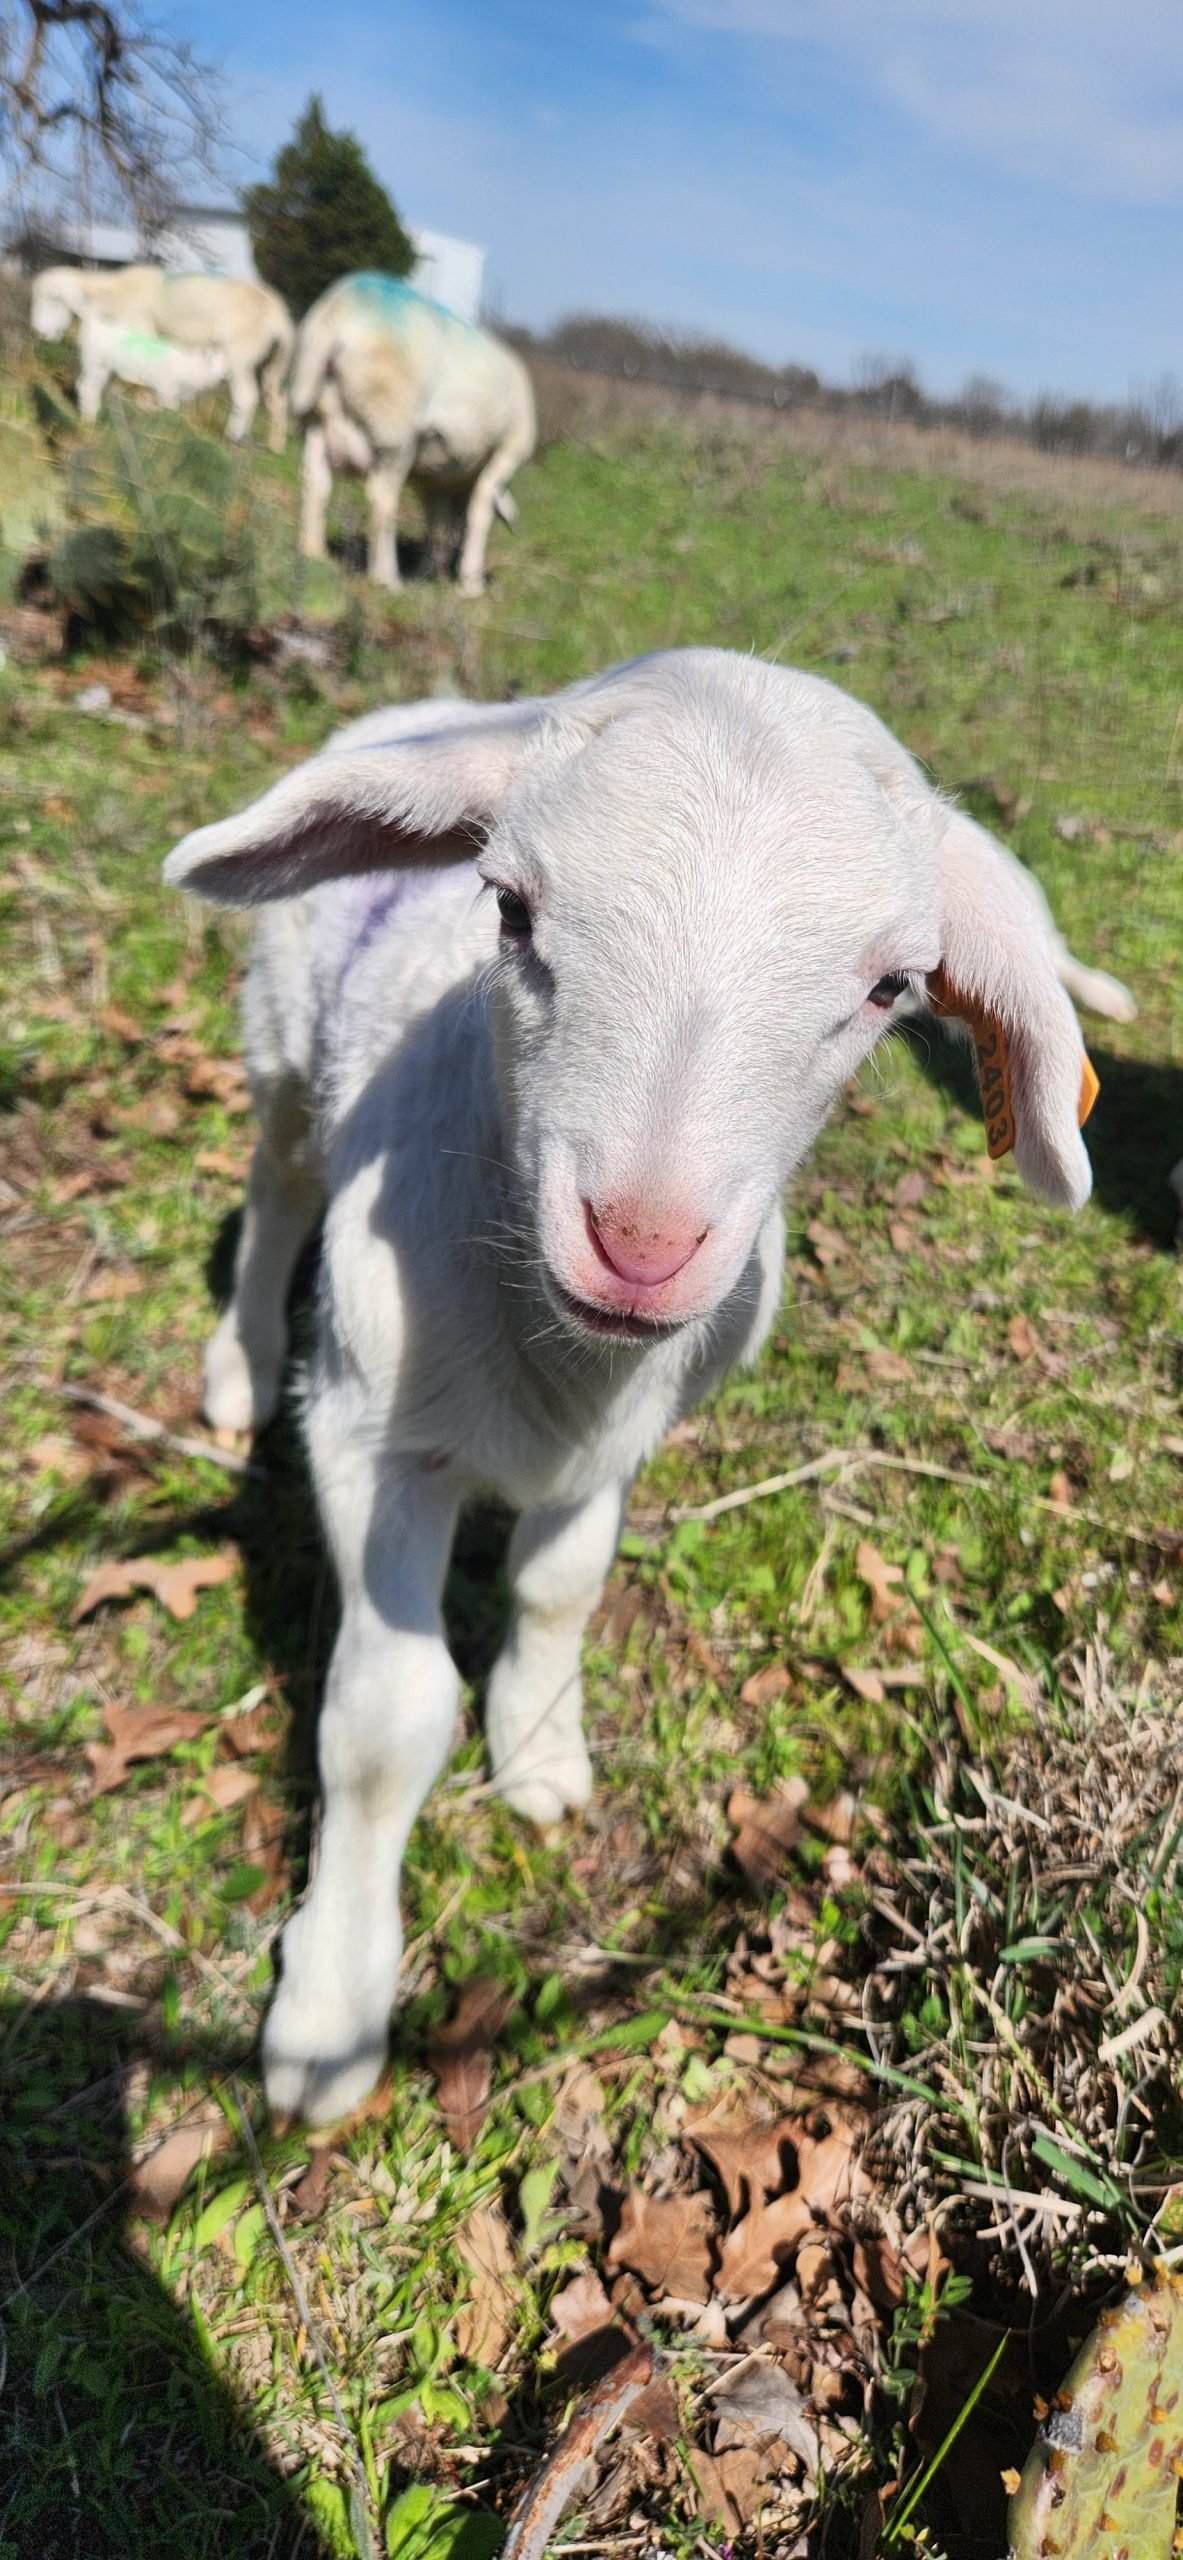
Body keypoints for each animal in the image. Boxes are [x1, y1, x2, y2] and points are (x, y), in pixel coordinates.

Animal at [31, 266, 294, 451]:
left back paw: (232, 437)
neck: (113, 293)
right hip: (272, 362)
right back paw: (274, 446)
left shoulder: (138, 327)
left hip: (240, 353)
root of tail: (278, 314)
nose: (39, 333)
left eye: (52, 299)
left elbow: (135, 364)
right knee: (277, 400)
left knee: (246, 397)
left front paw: (139, 402)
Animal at [164, 647, 1111, 2125]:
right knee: (274, 1190)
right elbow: (385, 1720)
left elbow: (561, 1587)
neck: (561, 1351)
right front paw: (328, 2011)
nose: (643, 1244)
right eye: (507, 907)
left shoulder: (619, 1440)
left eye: (891, 990)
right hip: (277, 1050)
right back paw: (238, 1367)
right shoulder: (374, 1435)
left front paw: (541, 1750)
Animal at [289, 273, 536, 594]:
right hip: (394, 434)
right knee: (381, 499)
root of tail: (338, 314)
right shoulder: (508, 453)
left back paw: (313, 554)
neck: (460, 483)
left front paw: (426, 572)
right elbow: (478, 514)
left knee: (315, 485)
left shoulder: (432, 477)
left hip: (317, 421)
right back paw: (387, 578)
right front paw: (470, 584)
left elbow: (433, 523)